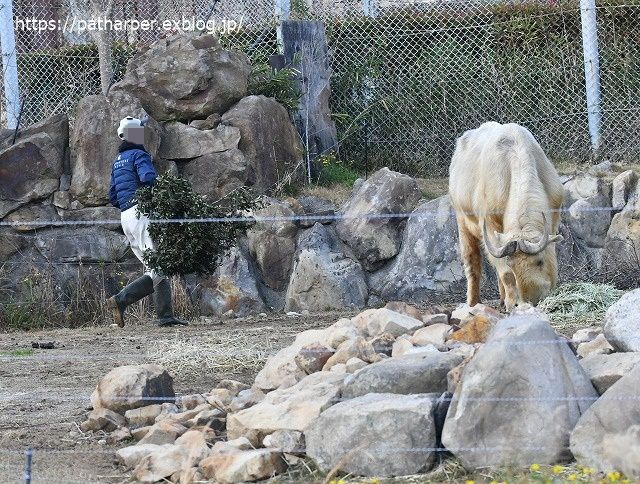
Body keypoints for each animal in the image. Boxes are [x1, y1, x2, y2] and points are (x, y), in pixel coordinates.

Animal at [448, 121, 564, 310]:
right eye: (513, 266)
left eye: (540, 262)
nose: (531, 301)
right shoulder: (490, 227)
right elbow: (504, 273)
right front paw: (512, 303)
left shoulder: (554, 218)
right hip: (463, 223)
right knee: (473, 263)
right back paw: (473, 303)